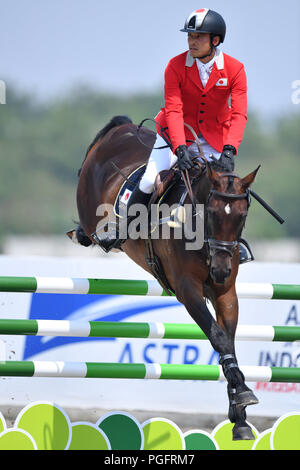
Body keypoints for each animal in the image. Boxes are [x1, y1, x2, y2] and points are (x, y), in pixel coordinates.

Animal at [72, 114, 260, 440]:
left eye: (242, 215)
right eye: (211, 212)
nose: (220, 269)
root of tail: (121, 128)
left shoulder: (225, 292)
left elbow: (229, 340)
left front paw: (240, 415)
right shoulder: (188, 291)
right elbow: (219, 338)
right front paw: (242, 397)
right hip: (89, 206)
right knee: (90, 229)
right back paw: (91, 234)